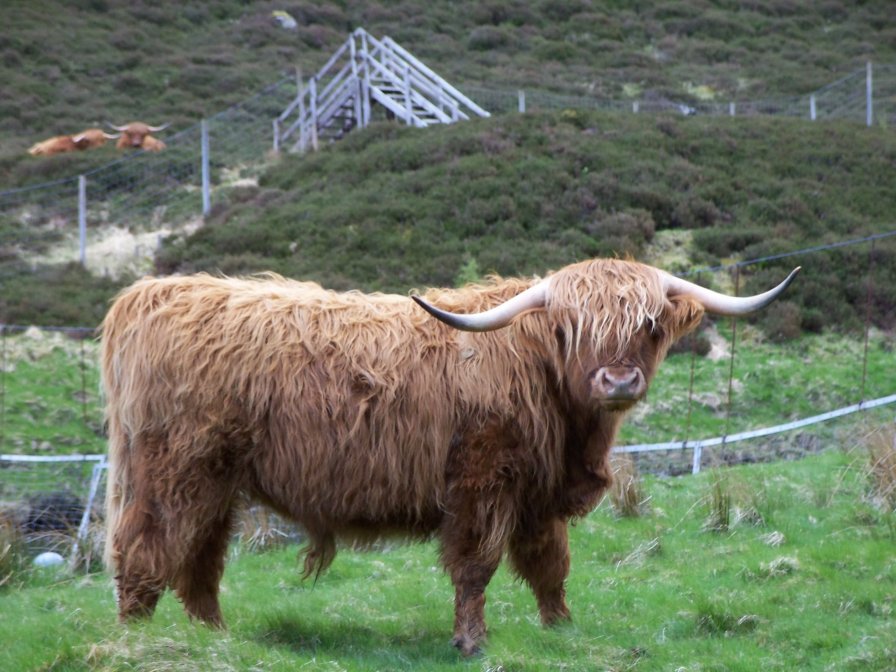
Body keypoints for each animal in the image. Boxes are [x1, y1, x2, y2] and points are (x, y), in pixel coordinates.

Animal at [101, 259, 798, 655]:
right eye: (570, 327)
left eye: (650, 325)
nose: (619, 380)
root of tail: (151, 295)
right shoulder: (483, 480)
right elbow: (476, 566)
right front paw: (471, 640)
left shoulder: (538, 493)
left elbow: (550, 564)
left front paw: (562, 628)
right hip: (175, 469)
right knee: (146, 549)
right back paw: (138, 639)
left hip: (218, 481)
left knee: (200, 561)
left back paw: (212, 639)